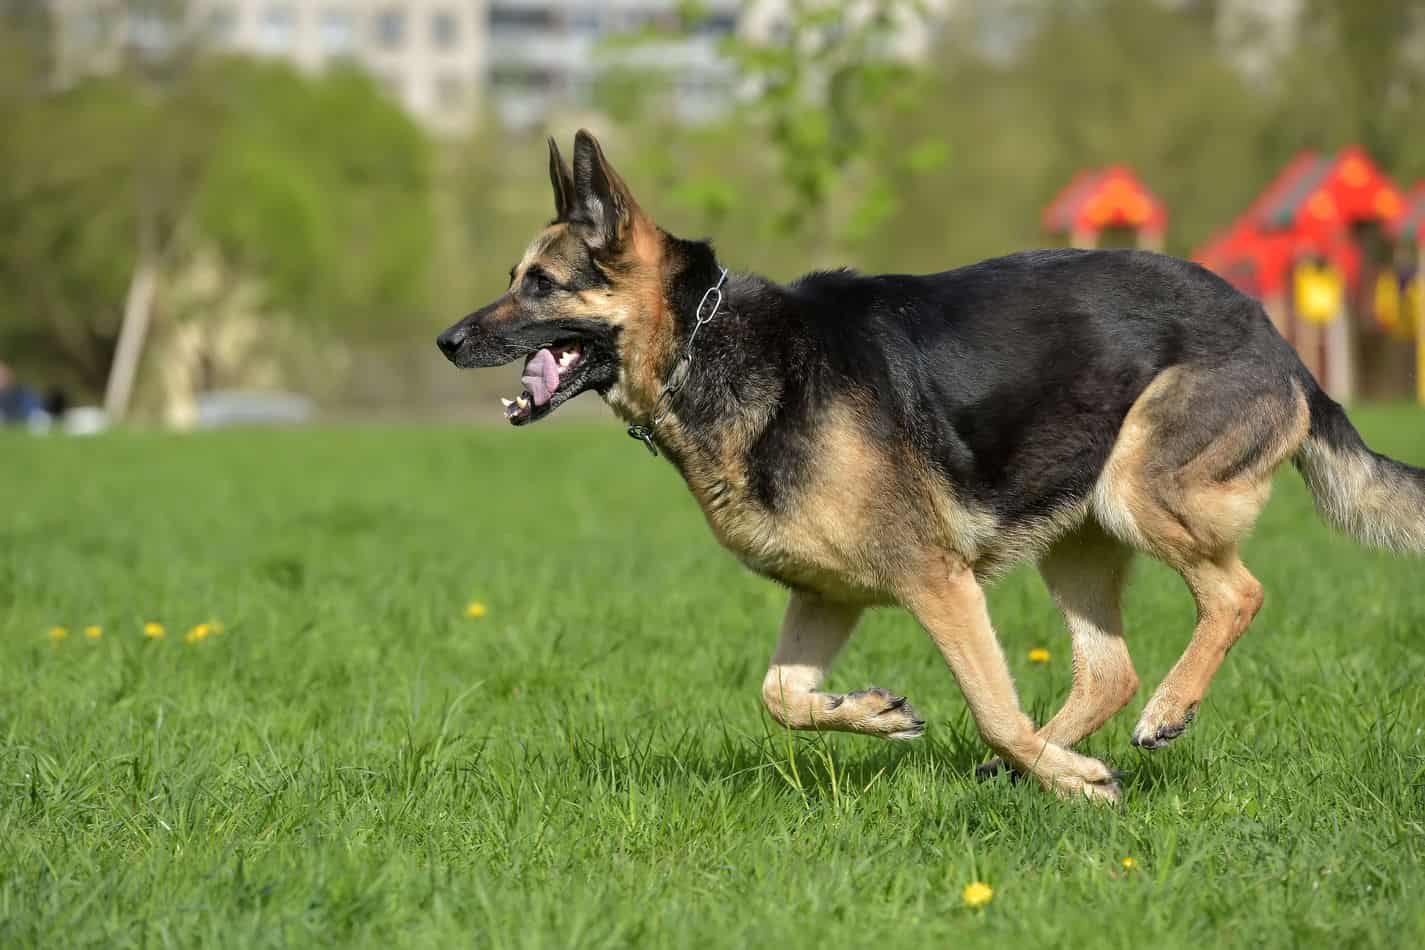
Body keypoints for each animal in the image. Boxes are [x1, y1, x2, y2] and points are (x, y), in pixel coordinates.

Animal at [433, 131, 1425, 803]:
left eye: (539, 285)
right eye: (513, 278)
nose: (445, 341)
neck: (705, 342)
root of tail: (1278, 342)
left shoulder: (935, 581)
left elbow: (987, 703)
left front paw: (1065, 778)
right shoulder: (825, 595)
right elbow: (779, 695)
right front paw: (871, 715)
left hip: (1138, 493)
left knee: (1234, 595)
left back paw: (1148, 721)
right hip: (1081, 534)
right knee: (1108, 670)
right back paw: (1047, 760)